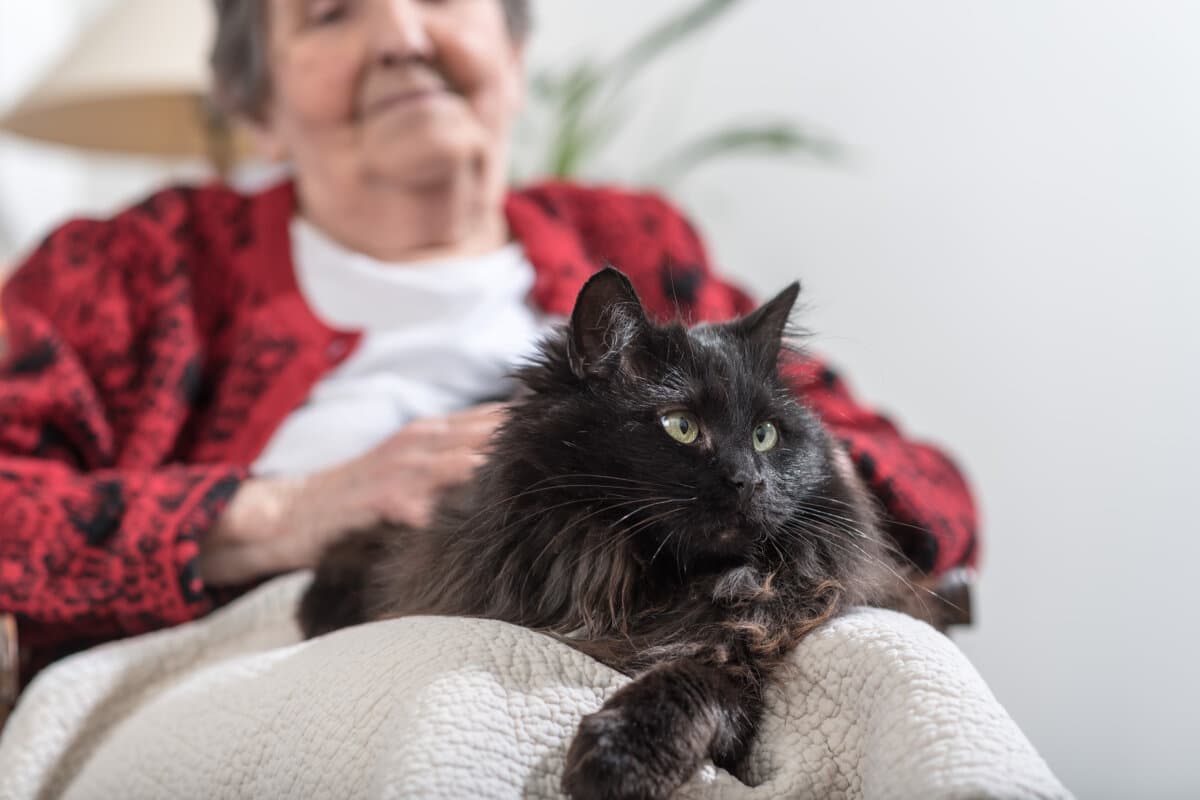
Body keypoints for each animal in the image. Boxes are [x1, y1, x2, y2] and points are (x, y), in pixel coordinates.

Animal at [297, 271, 907, 800]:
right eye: (681, 426)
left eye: (765, 436)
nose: (748, 480)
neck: (652, 582)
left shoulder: (744, 652)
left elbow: (687, 685)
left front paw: (618, 756)